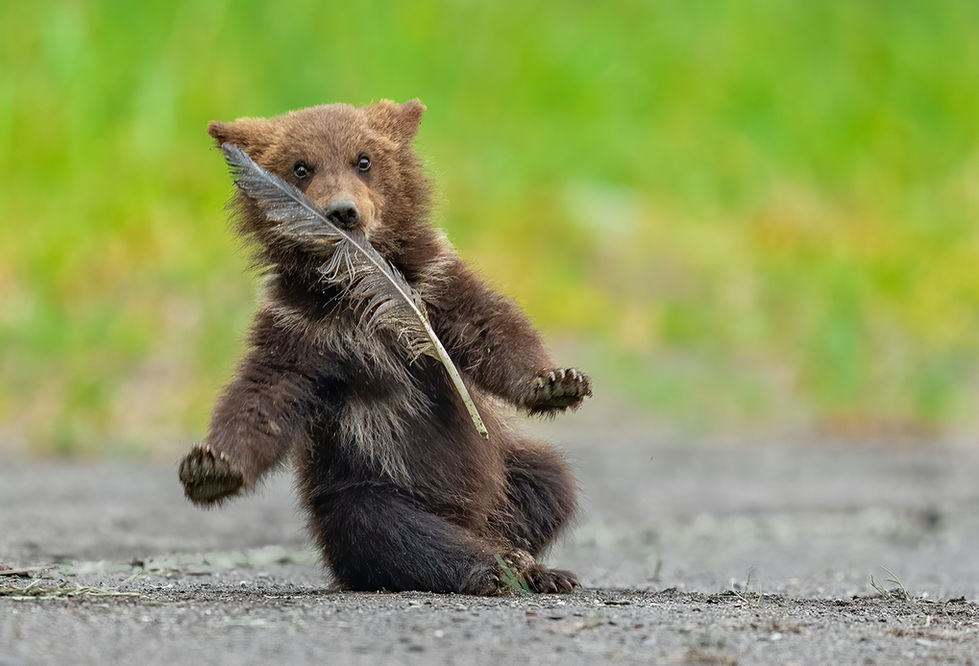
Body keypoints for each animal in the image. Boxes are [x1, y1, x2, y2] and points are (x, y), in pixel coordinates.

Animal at [178, 99, 592, 595]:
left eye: (364, 159)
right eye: (301, 167)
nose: (342, 212)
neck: (348, 281)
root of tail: (466, 516)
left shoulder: (432, 283)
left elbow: (490, 328)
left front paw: (556, 382)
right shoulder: (302, 327)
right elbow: (265, 392)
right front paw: (211, 467)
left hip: (507, 469)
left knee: (549, 480)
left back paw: (535, 566)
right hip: (359, 485)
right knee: (389, 529)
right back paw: (495, 566)